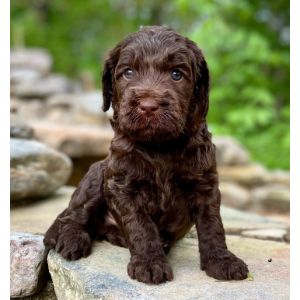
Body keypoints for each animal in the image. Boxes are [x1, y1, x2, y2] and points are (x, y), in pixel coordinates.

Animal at [44, 25, 248, 284]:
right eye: (128, 72)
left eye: (176, 74)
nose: (149, 106)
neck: (159, 145)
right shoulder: (122, 185)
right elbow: (141, 226)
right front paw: (150, 264)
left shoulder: (204, 183)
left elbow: (212, 224)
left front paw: (222, 260)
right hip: (97, 173)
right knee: (75, 215)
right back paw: (71, 239)